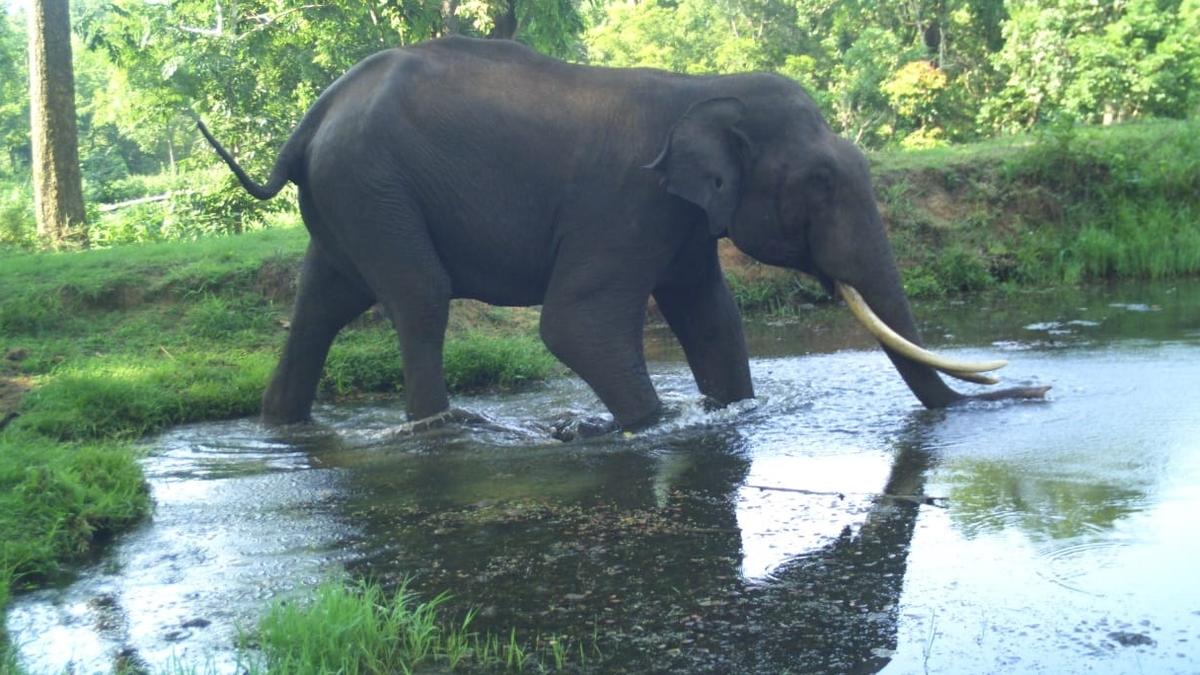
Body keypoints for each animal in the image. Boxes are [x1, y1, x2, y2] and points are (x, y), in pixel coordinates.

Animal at [199, 35, 1048, 433]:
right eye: (820, 185)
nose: (1036, 388)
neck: (704, 90)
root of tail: (315, 114)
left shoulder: (680, 216)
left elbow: (711, 313)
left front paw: (728, 408)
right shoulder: (626, 203)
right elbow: (575, 325)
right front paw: (649, 426)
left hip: (351, 197)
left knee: (323, 303)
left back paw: (283, 425)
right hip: (376, 188)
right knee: (420, 297)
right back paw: (445, 427)